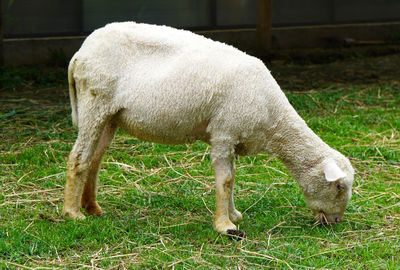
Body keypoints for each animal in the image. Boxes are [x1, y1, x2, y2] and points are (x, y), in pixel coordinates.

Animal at [64, 21, 354, 236]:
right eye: (340, 187)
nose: (336, 221)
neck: (273, 119)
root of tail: (79, 54)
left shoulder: (233, 137)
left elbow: (232, 178)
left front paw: (233, 214)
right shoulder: (224, 132)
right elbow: (225, 181)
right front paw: (225, 226)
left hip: (109, 116)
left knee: (94, 159)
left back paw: (92, 207)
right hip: (94, 101)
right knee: (78, 157)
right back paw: (72, 213)